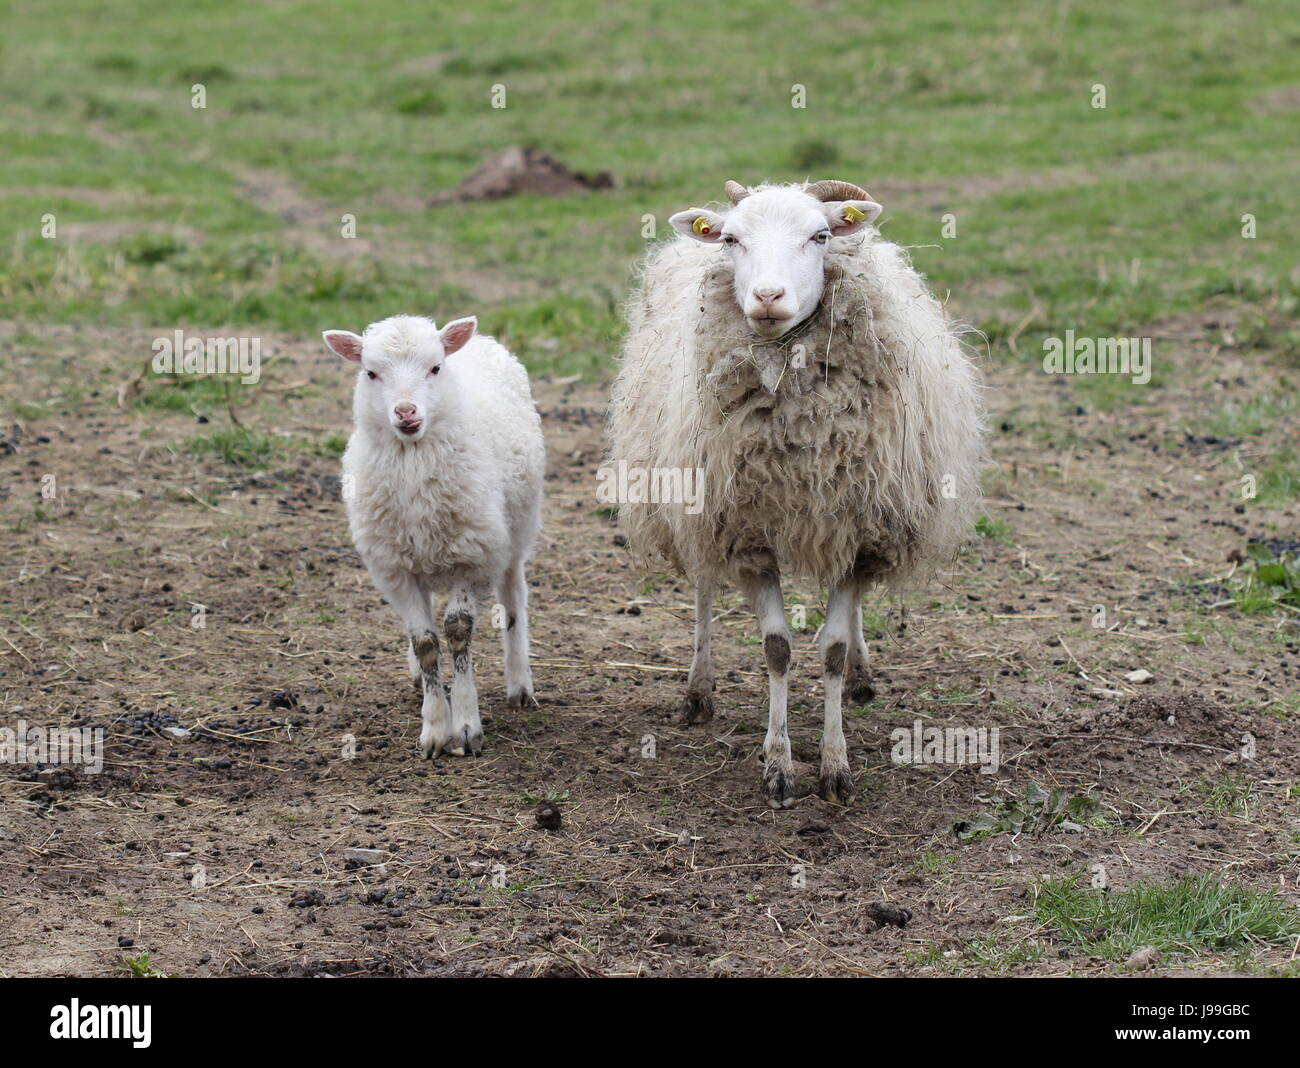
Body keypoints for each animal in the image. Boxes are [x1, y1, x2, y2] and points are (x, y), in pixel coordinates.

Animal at [327, 315, 546, 758]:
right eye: (370, 372)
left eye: (435, 368)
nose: (405, 411)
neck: (413, 460)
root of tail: (482, 339)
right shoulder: (394, 567)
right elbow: (426, 643)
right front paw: (434, 727)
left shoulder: (471, 555)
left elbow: (458, 634)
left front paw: (465, 725)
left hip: (514, 530)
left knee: (514, 600)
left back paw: (519, 683)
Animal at [608, 179, 982, 805]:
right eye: (731, 239)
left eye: (822, 235)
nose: (767, 295)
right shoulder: (746, 532)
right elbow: (777, 649)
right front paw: (779, 767)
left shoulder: (859, 530)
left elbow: (830, 648)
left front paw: (835, 766)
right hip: (695, 502)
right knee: (704, 589)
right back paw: (698, 690)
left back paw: (861, 677)